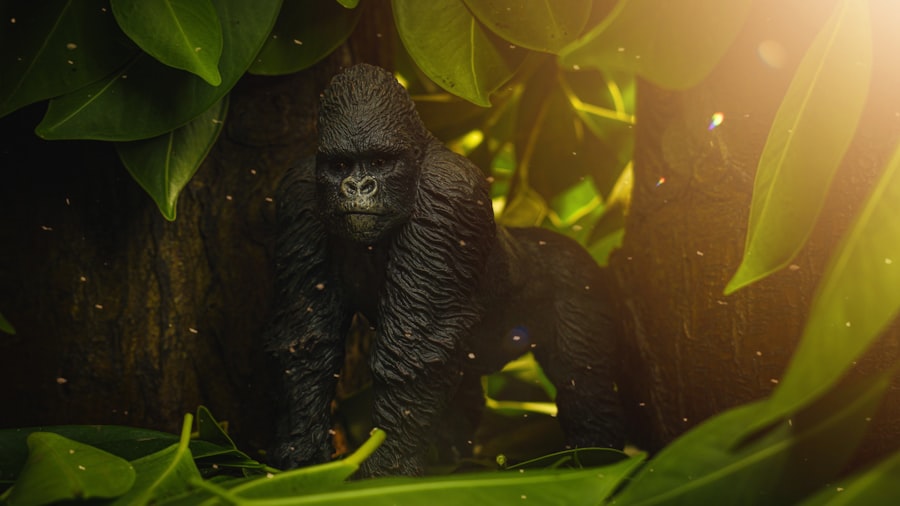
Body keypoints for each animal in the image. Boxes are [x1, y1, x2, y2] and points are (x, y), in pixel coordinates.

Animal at [266, 63, 623, 477]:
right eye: (340, 166)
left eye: (379, 163)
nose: (357, 186)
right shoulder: (299, 193)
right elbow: (307, 340)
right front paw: (302, 459)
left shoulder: (449, 191)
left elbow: (412, 351)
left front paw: (385, 473)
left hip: (581, 282)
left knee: (585, 388)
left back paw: (598, 459)